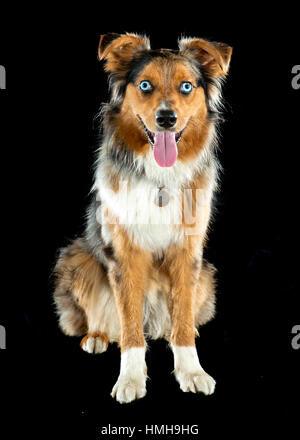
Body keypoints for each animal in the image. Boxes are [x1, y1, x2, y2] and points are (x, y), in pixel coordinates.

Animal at [53, 33, 232, 406]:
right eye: (145, 85)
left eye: (186, 87)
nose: (166, 118)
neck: (159, 178)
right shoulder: (125, 254)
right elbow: (130, 325)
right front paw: (131, 380)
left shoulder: (188, 253)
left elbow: (181, 317)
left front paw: (192, 371)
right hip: (77, 258)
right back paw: (96, 336)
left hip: (207, 276)